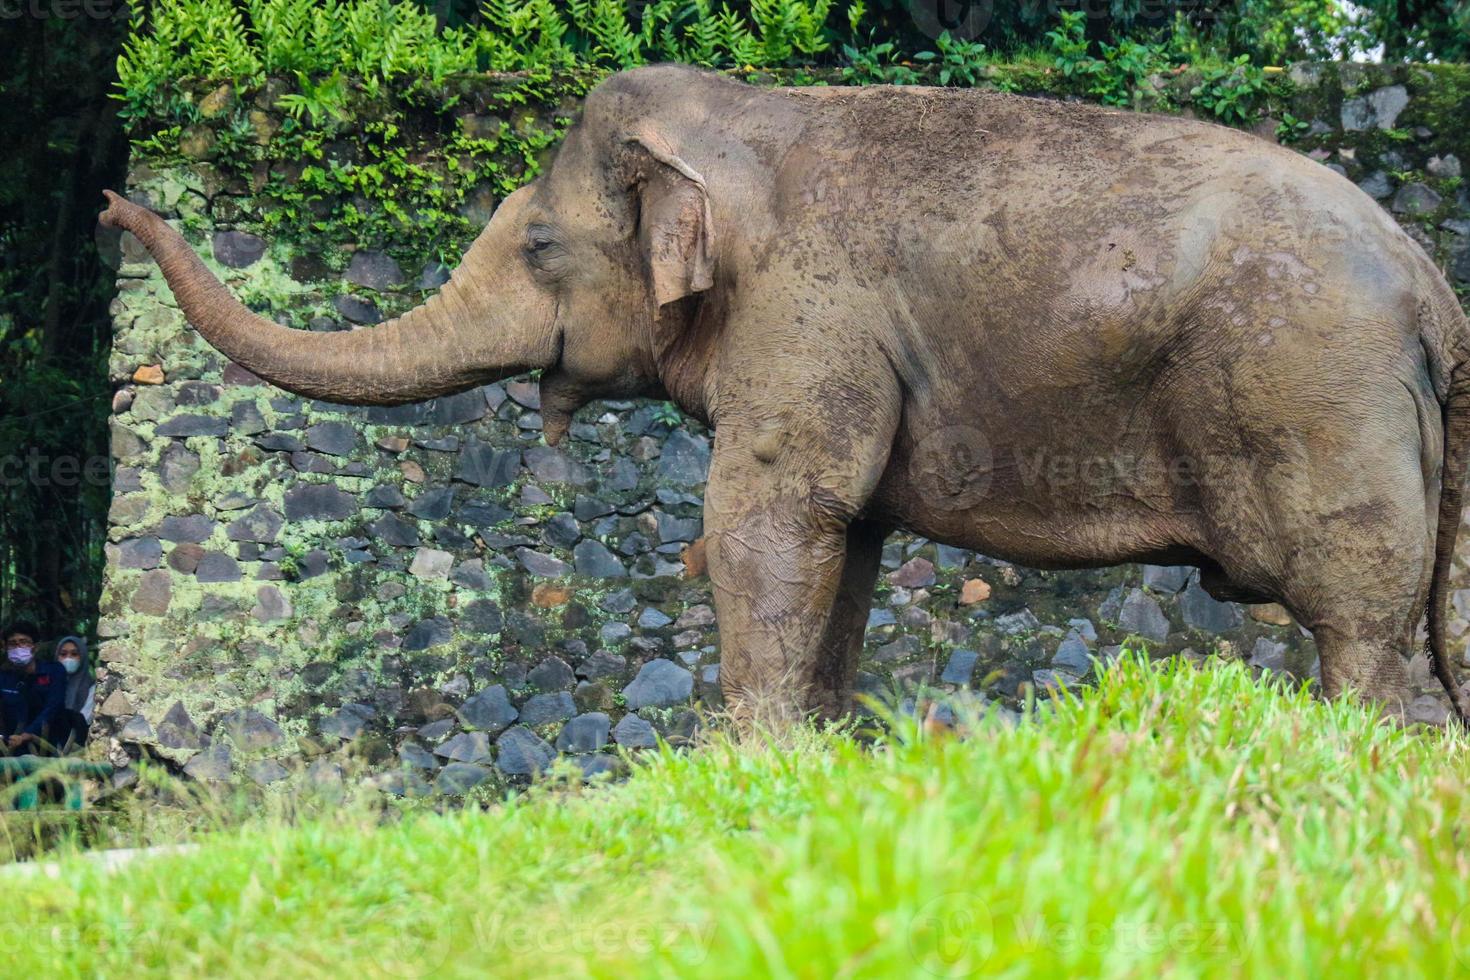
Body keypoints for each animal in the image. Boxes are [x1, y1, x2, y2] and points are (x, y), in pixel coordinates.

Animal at [103, 67, 1470, 728]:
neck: (742, 120)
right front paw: (814, 757)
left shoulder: (808, 315)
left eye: (538, 245)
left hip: (1316, 393)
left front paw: (745, 762)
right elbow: (845, 544)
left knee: (1358, 619)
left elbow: (769, 520)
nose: (115, 204)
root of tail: (1427, 279)